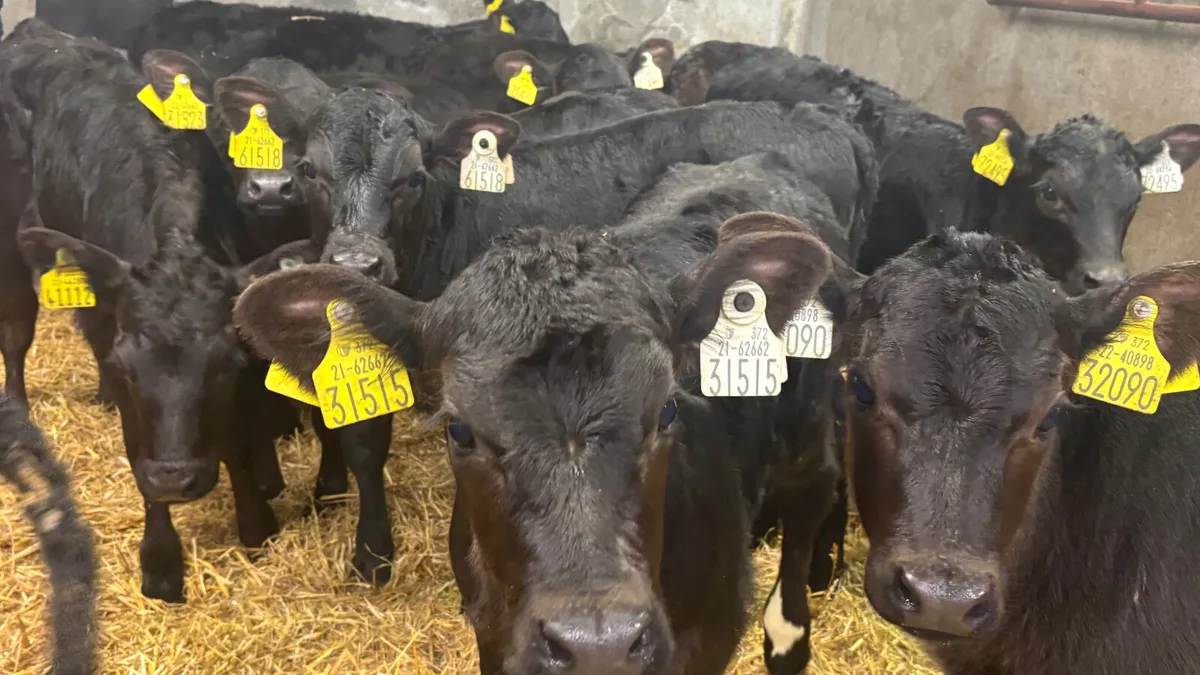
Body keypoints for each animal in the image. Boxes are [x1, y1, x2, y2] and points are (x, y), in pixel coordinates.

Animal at [0, 24, 311, 603]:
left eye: (225, 367)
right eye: (130, 370)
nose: (175, 479)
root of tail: (37, 31)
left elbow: (239, 438)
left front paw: (257, 519)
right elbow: (135, 441)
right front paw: (161, 562)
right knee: (16, 331)